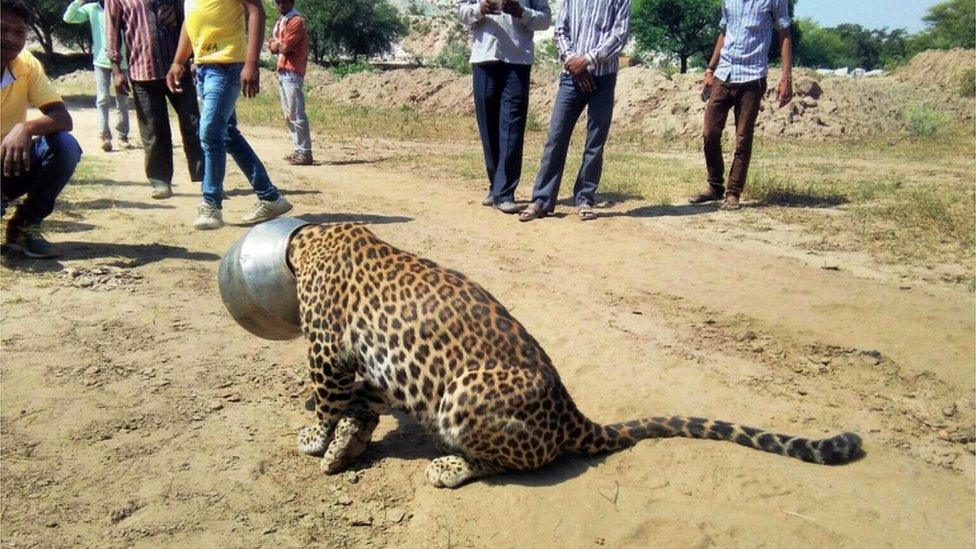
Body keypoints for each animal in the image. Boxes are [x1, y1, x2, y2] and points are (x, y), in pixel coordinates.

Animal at [284, 223, 860, 488]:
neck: (314, 237)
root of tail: (571, 413)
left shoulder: (325, 349)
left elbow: (325, 400)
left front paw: (315, 437)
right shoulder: (372, 365)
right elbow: (360, 401)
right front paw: (346, 440)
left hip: (465, 392)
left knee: (506, 462)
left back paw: (448, 466)